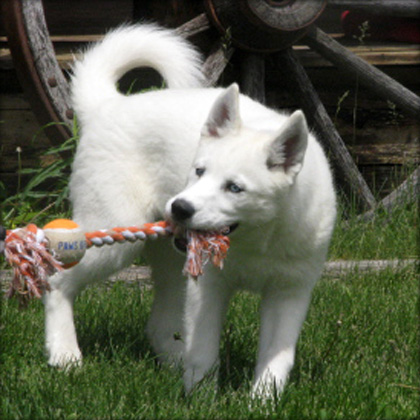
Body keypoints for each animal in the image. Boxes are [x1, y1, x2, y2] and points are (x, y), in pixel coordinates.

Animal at [44, 24, 336, 398]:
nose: (180, 208)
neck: (258, 240)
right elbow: (203, 351)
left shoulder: (289, 292)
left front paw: (261, 401)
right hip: (113, 236)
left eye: (234, 188)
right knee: (56, 280)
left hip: (171, 264)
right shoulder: (209, 286)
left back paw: (172, 364)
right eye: (198, 171)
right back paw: (64, 354)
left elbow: (276, 359)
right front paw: (201, 399)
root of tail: (110, 104)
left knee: (158, 324)